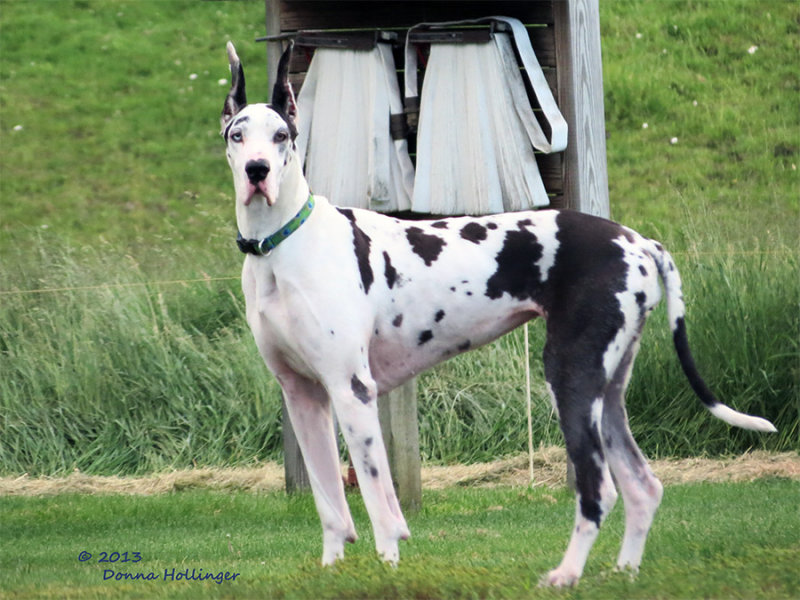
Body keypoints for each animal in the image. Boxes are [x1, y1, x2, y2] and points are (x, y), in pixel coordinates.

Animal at [219, 42, 776, 584]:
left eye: (282, 135)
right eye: (237, 134)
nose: (257, 171)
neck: (282, 243)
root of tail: (637, 241)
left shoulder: (352, 392)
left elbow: (381, 505)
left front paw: (387, 570)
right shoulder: (304, 398)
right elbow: (331, 506)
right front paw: (332, 571)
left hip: (570, 379)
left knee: (599, 492)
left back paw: (565, 576)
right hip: (607, 392)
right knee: (643, 487)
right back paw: (623, 574)